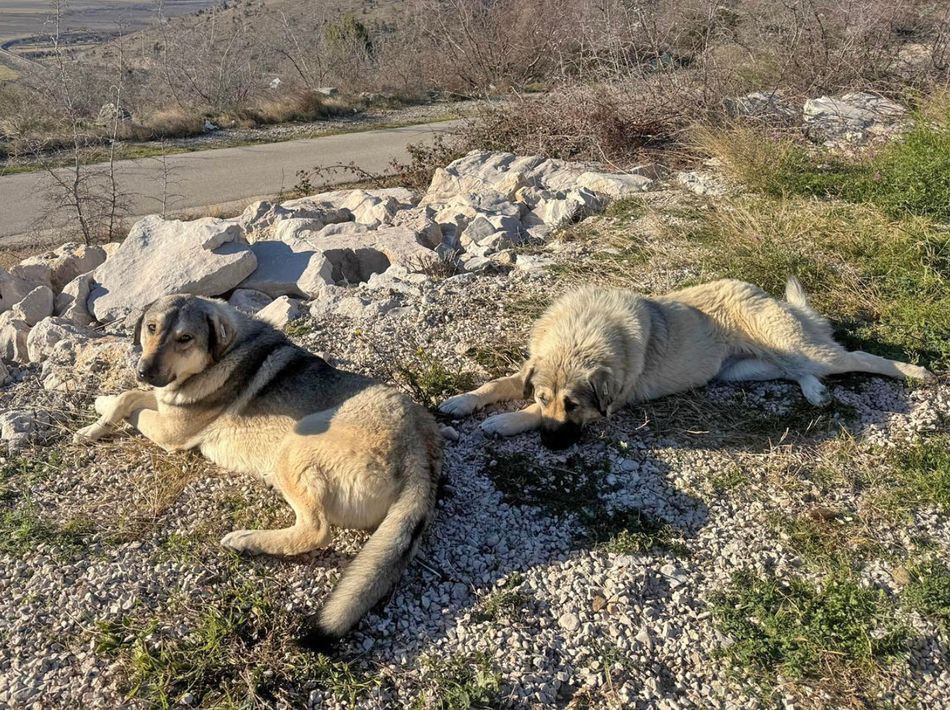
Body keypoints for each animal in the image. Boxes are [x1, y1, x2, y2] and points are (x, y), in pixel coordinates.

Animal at [74, 294, 442, 649]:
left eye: (185, 338)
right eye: (151, 328)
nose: (144, 370)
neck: (224, 355)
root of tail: (419, 453)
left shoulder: (170, 432)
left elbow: (129, 400)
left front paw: (99, 414)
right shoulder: (164, 404)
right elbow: (134, 395)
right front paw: (101, 415)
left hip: (291, 448)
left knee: (316, 531)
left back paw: (246, 540)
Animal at [439, 278, 934, 449]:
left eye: (574, 406)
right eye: (546, 398)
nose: (550, 444)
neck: (581, 333)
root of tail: (758, 290)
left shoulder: (609, 404)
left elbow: (517, 409)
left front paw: (503, 422)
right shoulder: (531, 368)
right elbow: (499, 384)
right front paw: (462, 401)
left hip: (801, 348)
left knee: (858, 357)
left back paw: (915, 372)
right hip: (746, 370)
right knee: (794, 370)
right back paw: (814, 392)